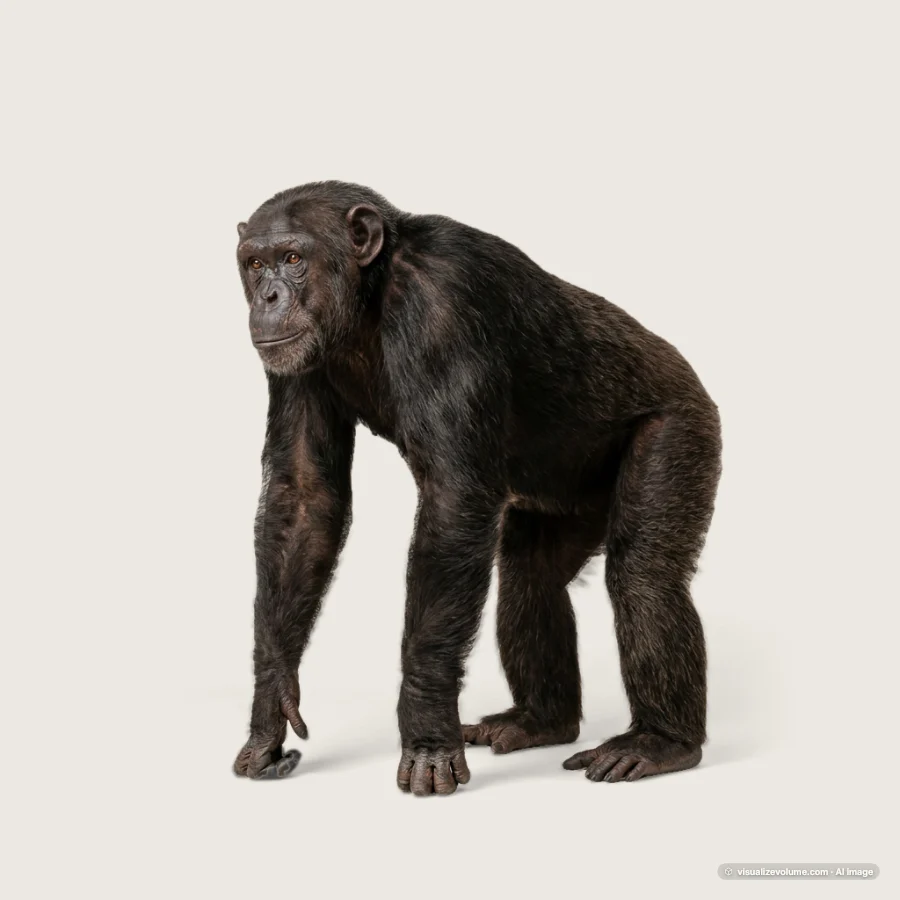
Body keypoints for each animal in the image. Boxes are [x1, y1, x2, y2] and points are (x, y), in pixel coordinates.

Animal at [231, 181, 722, 795]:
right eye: (255, 264)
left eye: (294, 258)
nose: (268, 296)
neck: (370, 295)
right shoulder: (294, 362)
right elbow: (302, 496)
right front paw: (269, 704)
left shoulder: (445, 304)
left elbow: (454, 496)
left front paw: (426, 733)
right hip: (568, 500)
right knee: (531, 577)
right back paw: (542, 720)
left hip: (682, 427)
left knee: (644, 579)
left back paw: (660, 742)